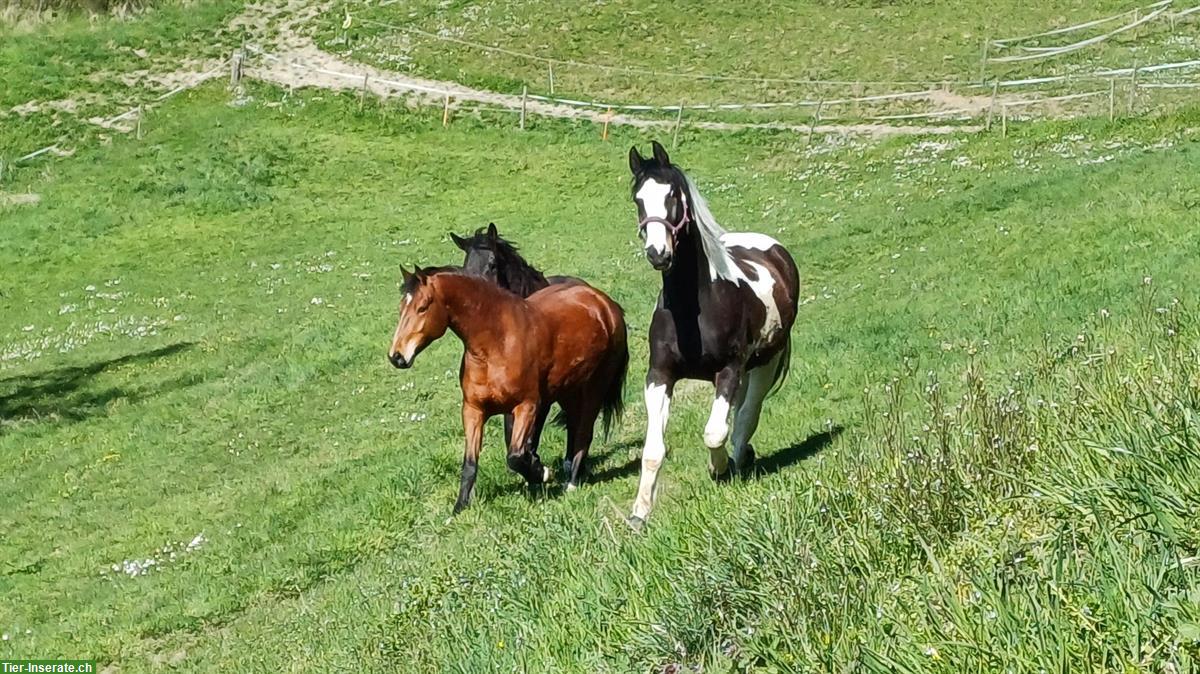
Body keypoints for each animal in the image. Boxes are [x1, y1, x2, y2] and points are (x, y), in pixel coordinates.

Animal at [386, 265, 633, 510]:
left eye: (422, 307)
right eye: (401, 307)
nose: (396, 357)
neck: (497, 343)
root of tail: (605, 305)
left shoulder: (527, 407)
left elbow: (515, 456)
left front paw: (541, 472)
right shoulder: (473, 410)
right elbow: (470, 463)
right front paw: (460, 508)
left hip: (594, 388)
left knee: (584, 431)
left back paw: (571, 482)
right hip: (568, 390)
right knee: (574, 425)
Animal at [624, 141, 801, 525]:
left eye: (672, 194)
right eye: (638, 199)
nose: (657, 253)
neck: (696, 308)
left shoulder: (729, 370)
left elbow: (715, 431)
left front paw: (718, 470)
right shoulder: (659, 375)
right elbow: (653, 449)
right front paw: (640, 512)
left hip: (765, 362)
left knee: (747, 415)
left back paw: (738, 461)